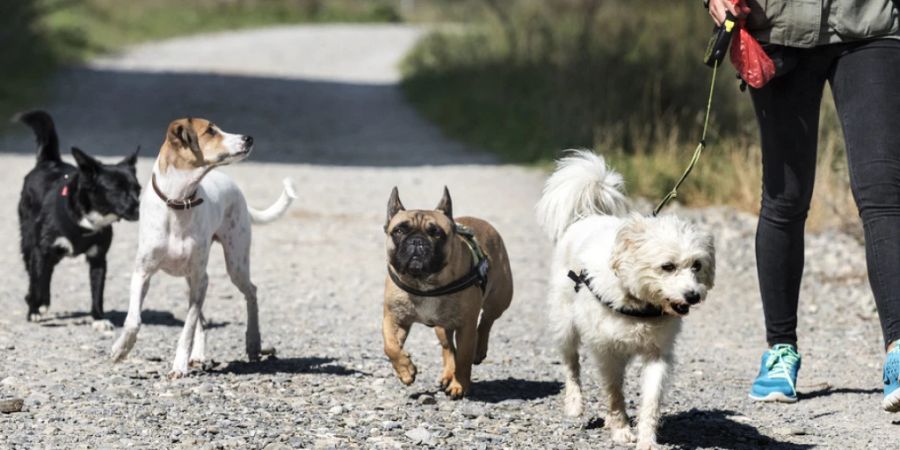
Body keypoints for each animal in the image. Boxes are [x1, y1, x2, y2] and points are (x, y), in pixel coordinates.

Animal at [16, 110, 141, 328]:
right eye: (117, 190)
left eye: (138, 190)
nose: (138, 208)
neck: (86, 221)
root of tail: (49, 162)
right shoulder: (40, 251)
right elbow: (36, 281)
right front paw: (34, 308)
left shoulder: (98, 259)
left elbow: (97, 292)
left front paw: (99, 319)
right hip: (30, 243)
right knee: (37, 274)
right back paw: (39, 304)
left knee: (48, 272)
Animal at [107, 118, 294, 378]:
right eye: (210, 131)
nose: (249, 138)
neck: (178, 202)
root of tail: (233, 186)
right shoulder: (142, 274)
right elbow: (134, 321)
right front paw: (120, 350)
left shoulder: (199, 277)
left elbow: (187, 327)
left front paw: (179, 365)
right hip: (193, 278)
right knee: (203, 320)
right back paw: (198, 355)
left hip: (234, 265)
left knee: (251, 293)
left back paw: (253, 342)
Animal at [536, 149, 716, 448]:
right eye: (668, 266)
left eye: (697, 265)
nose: (692, 295)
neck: (637, 301)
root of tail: (588, 216)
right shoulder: (607, 352)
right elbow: (614, 392)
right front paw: (620, 428)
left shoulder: (658, 355)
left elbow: (651, 401)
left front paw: (646, 438)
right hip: (565, 325)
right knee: (571, 365)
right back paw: (574, 403)